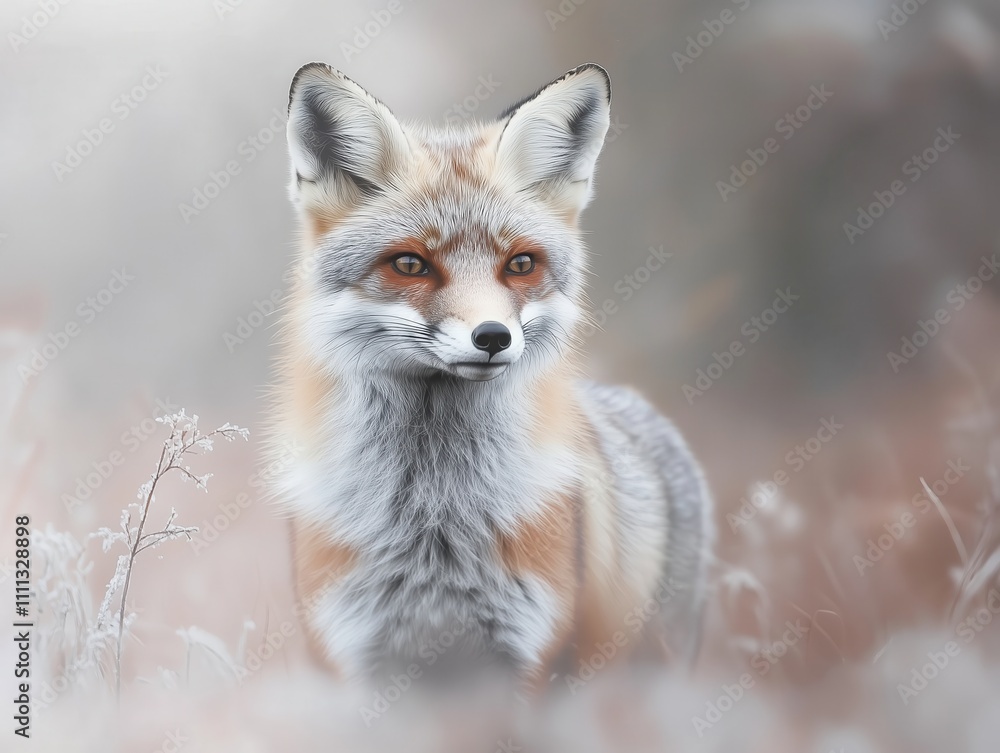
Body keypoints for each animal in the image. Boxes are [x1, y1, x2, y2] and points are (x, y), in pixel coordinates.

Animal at [269, 61, 713, 686]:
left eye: (520, 264)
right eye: (410, 264)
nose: (493, 337)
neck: (432, 519)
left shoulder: (535, 660)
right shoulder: (347, 657)